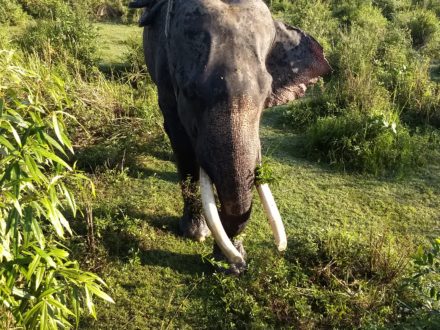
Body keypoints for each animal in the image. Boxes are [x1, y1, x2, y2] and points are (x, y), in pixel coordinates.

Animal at [129, 0, 328, 274]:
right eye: (190, 93)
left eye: (266, 95)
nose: (238, 265)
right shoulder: (165, 69)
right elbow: (180, 140)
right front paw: (196, 234)